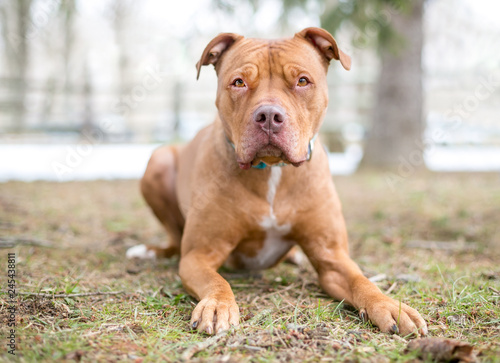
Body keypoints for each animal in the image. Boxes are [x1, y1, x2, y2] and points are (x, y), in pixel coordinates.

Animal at [127, 27, 428, 336]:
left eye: (302, 81)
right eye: (239, 82)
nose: (269, 115)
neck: (272, 170)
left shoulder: (332, 257)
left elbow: (361, 280)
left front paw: (390, 304)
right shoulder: (198, 255)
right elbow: (216, 280)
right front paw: (217, 305)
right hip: (158, 161)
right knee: (175, 242)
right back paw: (149, 252)